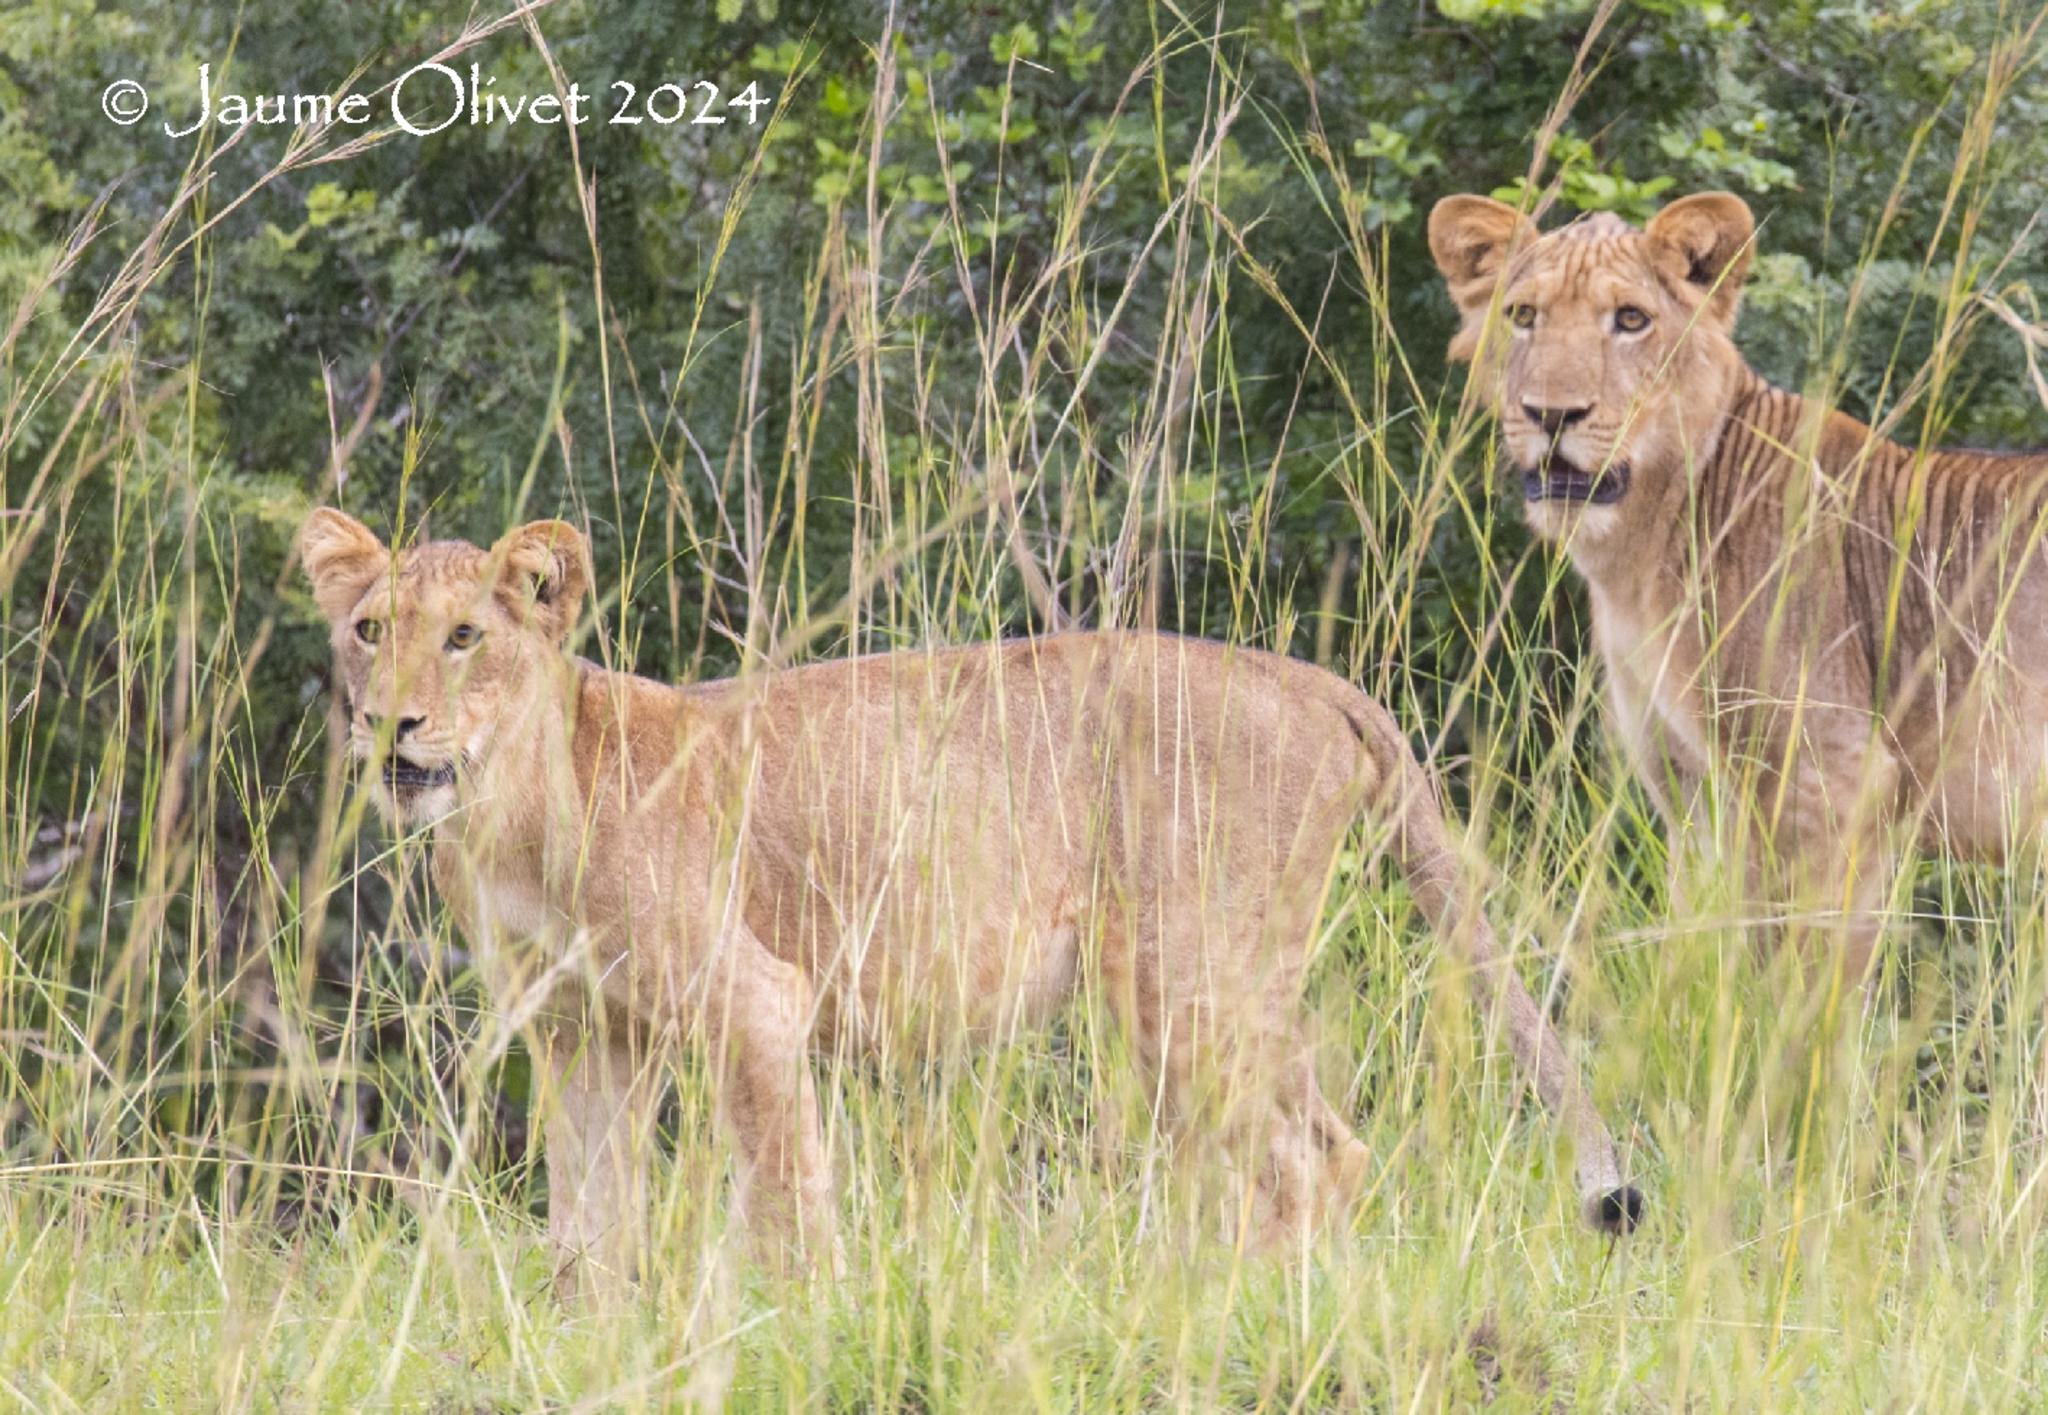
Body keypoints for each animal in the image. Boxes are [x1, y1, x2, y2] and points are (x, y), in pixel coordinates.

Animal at [296, 509, 1638, 1294]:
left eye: (464, 636)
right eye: (368, 628)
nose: (390, 724)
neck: (513, 811)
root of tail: (1310, 678)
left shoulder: (754, 999)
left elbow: (785, 1197)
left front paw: (807, 1324)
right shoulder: (583, 1032)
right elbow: (587, 1222)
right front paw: (596, 1332)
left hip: (1177, 982)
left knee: (1294, 1162)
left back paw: (1225, 1312)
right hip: (1233, 984)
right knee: (1331, 1145)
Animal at [1433, 188, 2048, 987]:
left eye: (1630, 319)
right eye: (1523, 315)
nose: (1551, 414)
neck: (1639, 558)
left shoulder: (1834, 785)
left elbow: (1805, 993)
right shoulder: (1692, 796)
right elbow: (1708, 960)